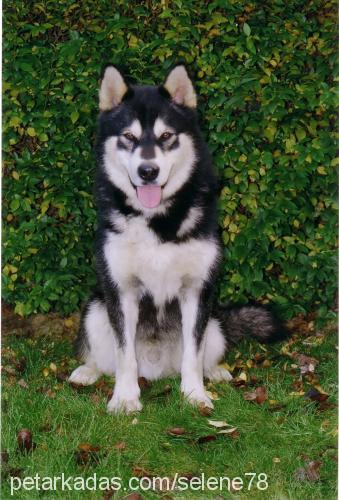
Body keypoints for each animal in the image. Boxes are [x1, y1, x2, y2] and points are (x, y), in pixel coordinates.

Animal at [69, 63, 286, 414]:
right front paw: (125, 398)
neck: (158, 222)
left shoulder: (197, 291)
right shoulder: (121, 291)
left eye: (166, 136)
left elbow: (192, 354)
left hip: (215, 323)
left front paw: (195, 394)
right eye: (129, 137)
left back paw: (215, 371)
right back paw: (88, 371)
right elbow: (124, 355)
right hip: (95, 309)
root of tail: (156, 371)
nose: (148, 171)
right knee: (103, 358)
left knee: (204, 351)